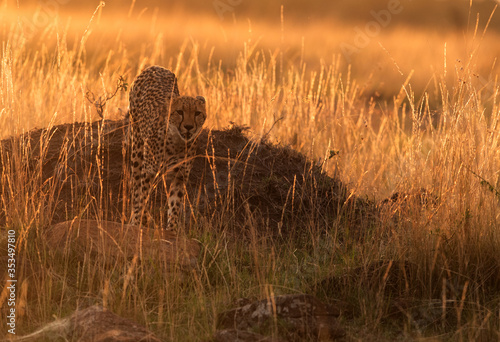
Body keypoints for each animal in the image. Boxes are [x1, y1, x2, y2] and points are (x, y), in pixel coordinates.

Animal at [129, 65, 209, 228]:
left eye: (197, 113)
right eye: (179, 112)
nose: (189, 127)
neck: (177, 142)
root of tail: (156, 67)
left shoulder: (180, 175)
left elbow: (175, 204)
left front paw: (171, 228)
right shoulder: (149, 171)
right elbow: (143, 196)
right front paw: (139, 221)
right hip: (137, 143)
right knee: (135, 185)